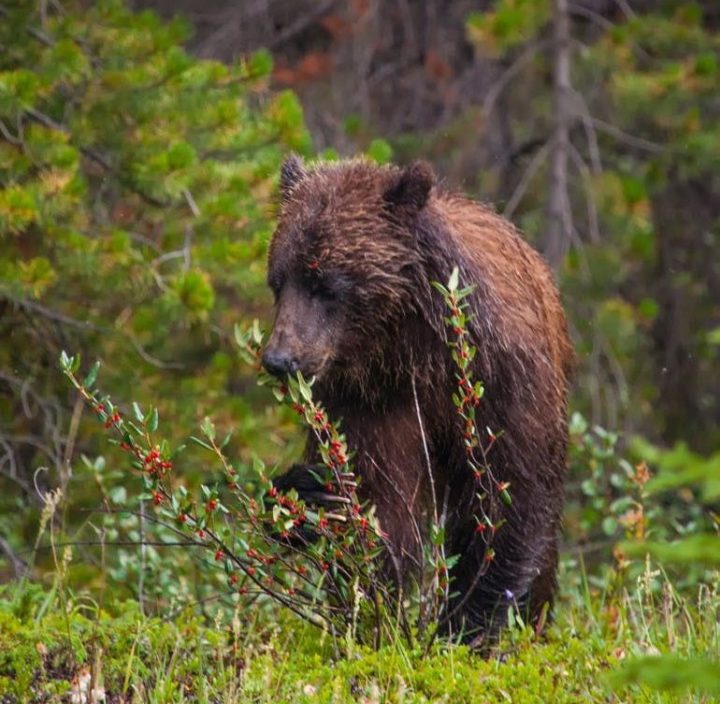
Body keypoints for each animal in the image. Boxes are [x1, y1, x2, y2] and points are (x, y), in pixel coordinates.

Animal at [262, 155, 573, 644]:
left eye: (325, 283)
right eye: (278, 280)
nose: (279, 359)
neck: (408, 350)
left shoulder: (497, 382)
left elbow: (505, 501)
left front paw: (469, 624)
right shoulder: (369, 402)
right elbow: (381, 505)